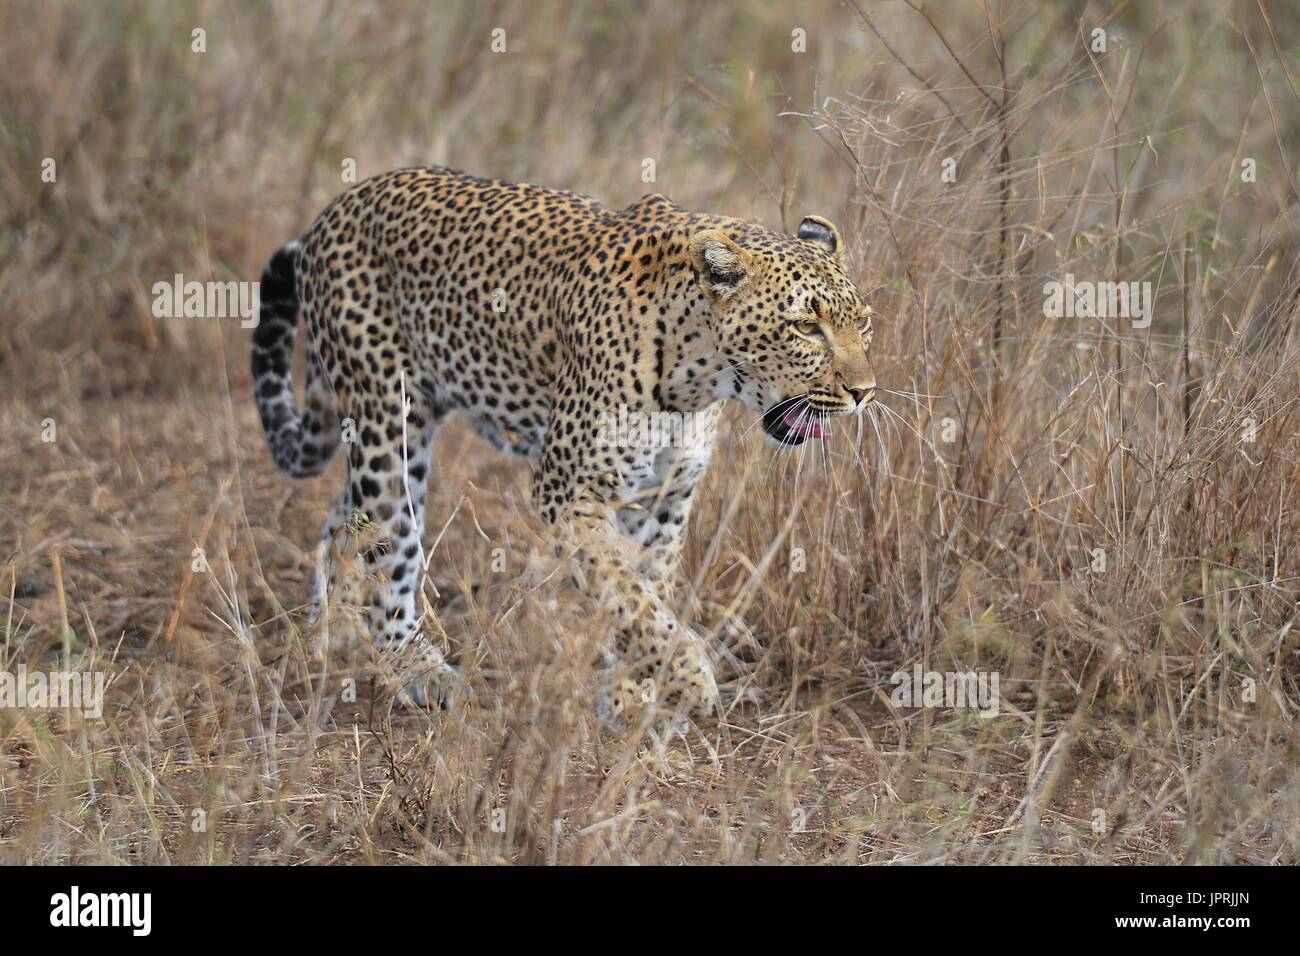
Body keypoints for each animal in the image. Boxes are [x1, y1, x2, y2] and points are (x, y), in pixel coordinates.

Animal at [250, 167, 883, 728]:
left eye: (863, 324)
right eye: (805, 327)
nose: (864, 393)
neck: (698, 377)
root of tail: (335, 208)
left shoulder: (663, 501)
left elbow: (644, 592)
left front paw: (632, 692)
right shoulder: (569, 493)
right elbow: (624, 591)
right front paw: (687, 677)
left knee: (344, 525)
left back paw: (332, 633)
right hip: (390, 423)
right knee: (388, 546)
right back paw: (413, 668)